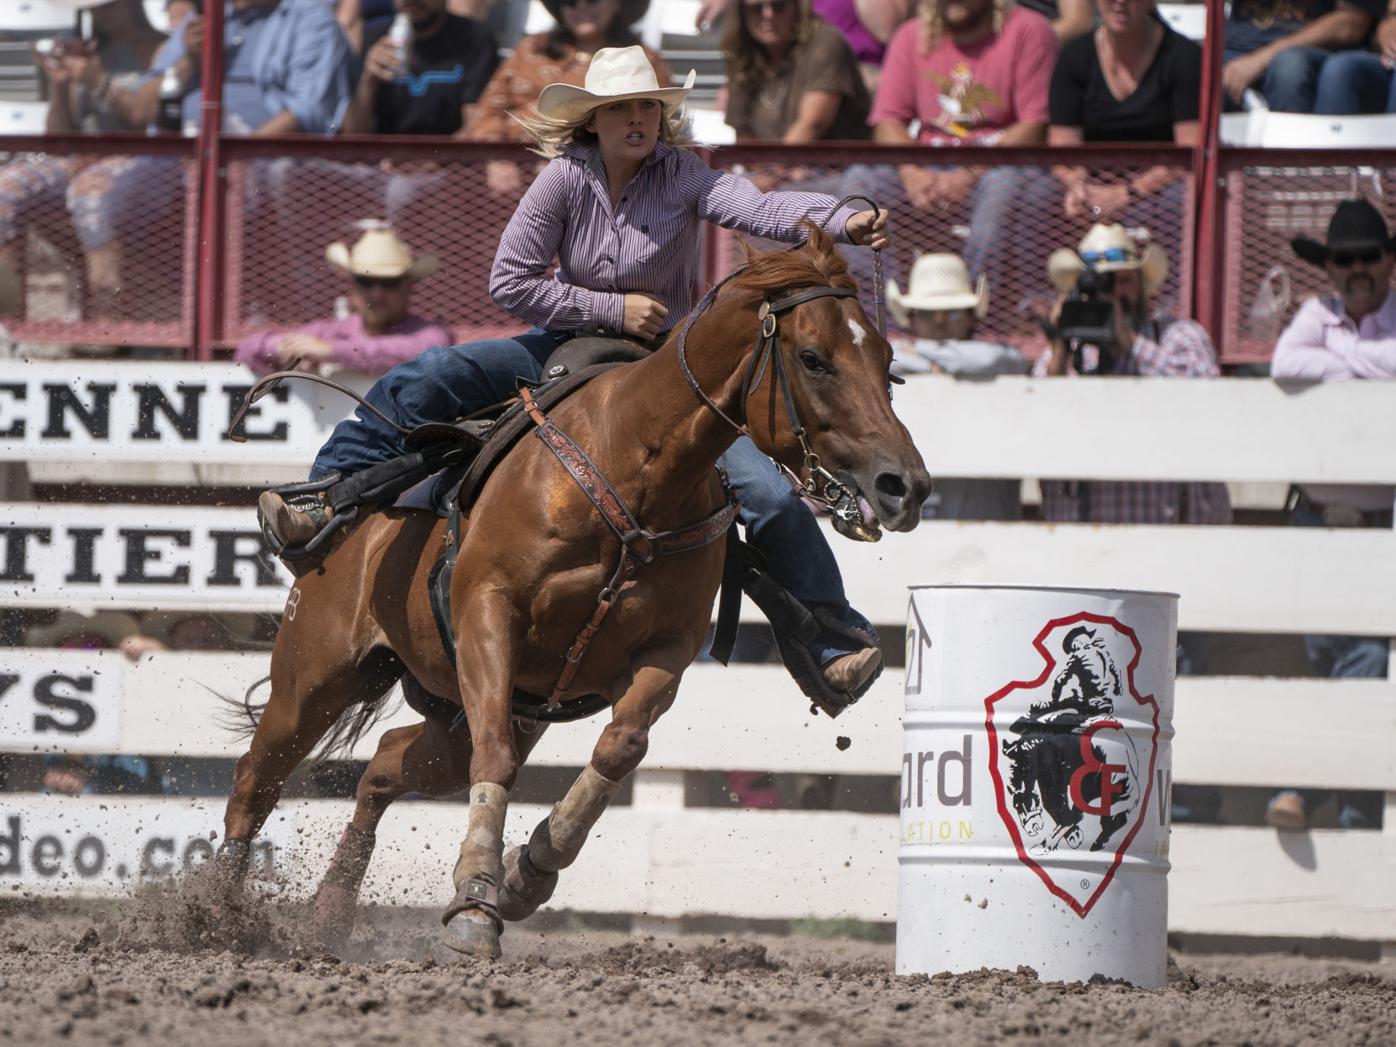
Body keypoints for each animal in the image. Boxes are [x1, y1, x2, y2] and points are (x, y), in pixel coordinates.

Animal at [214, 228, 926, 960]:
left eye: (886, 360)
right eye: (813, 359)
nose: (905, 484)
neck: (634, 467)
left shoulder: (666, 651)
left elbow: (620, 746)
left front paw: (528, 872)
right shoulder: (489, 615)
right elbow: (498, 756)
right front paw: (475, 900)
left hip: (458, 718)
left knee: (383, 766)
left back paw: (330, 914)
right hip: (315, 677)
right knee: (255, 780)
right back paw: (213, 915)